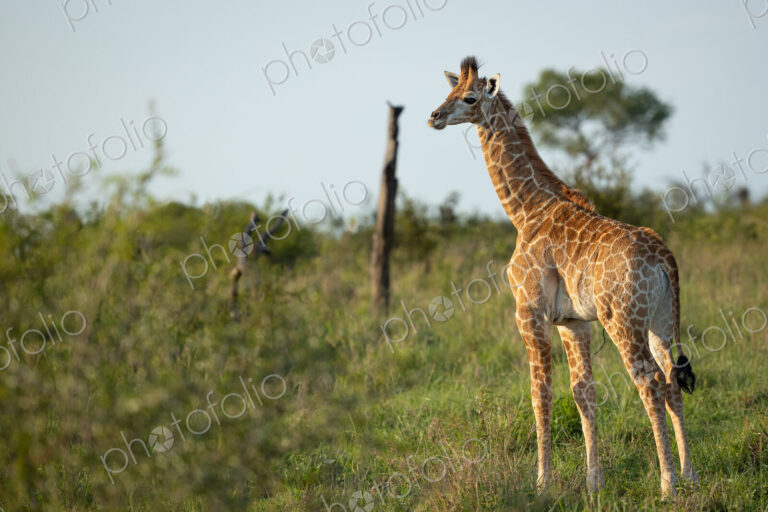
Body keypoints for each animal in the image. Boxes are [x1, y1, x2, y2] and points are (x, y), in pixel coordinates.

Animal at [427, 57, 698, 497]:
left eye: (468, 98)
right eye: (448, 92)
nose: (433, 116)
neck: (526, 210)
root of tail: (664, 259)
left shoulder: (529, 311)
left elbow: (541, 392)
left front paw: (542, 481)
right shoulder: (574, 322)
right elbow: (583, 392)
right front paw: (594, 482)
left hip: (623, 321)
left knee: (651, 381)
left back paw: (667, 484)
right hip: (660, 321)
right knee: (672, 379)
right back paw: (690, 474)